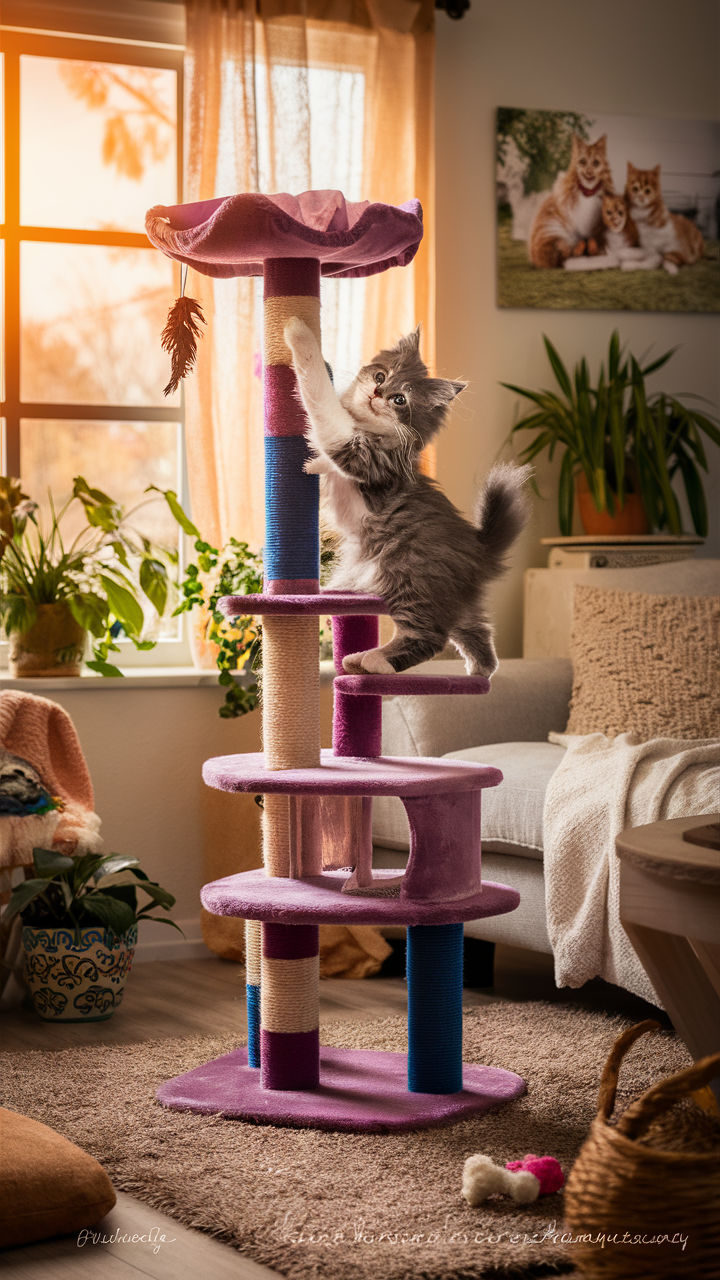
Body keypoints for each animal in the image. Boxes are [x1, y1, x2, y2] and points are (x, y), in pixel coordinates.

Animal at [284, 317, 527, 680]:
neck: (371, 429)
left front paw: (299, 332)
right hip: (454, 602)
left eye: (399, 400)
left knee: (429, 637)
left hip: (411, 579)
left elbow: (321, 397)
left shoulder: (358, 454)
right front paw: (314, 464)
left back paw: (372, 661)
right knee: (478, 634)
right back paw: (478, 673)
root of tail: (480, 549)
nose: (377, 393)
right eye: (380, 376)